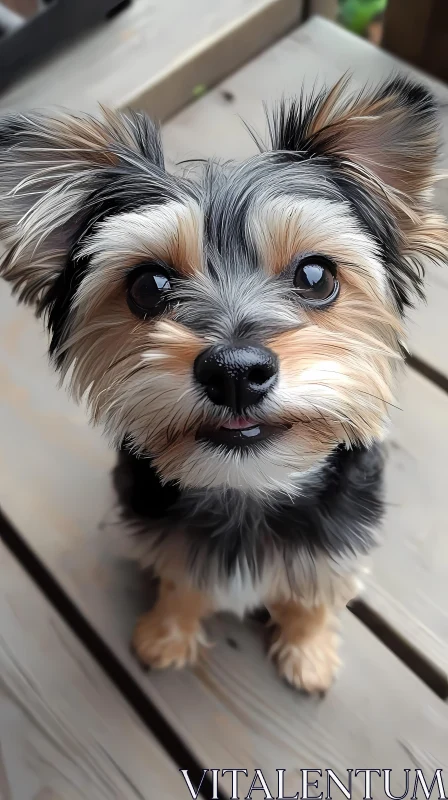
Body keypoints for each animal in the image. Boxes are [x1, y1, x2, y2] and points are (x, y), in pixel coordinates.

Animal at [1, 78, 446, 692]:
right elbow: (181, 582)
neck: (247, 490)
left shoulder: (336, 547)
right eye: (148, 285)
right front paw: (166, 635)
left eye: (317, 276)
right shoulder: (169, 540)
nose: (234, 370)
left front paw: (308, 652)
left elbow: (313, 597)